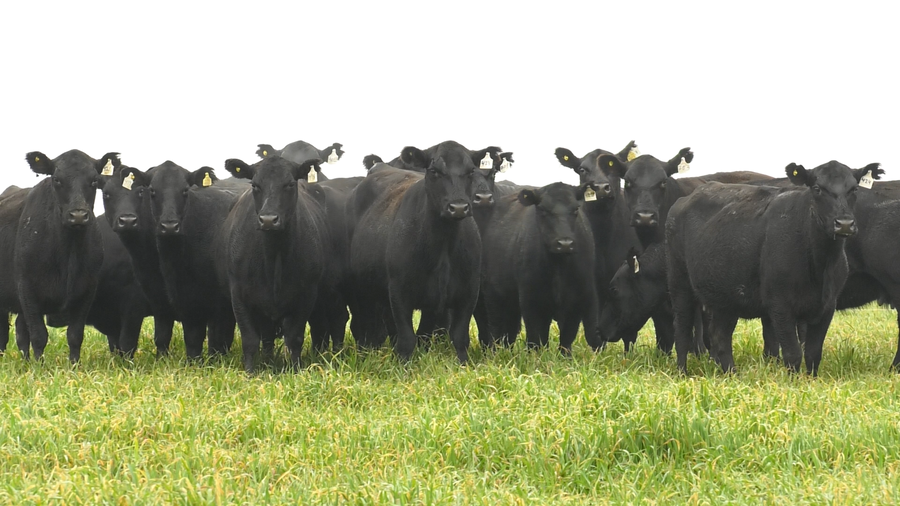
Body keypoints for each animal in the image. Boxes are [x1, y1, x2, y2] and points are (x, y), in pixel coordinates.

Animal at [8, 150, 119, 361]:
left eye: (94, 180)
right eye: (57, 180)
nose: (78, 215)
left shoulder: (87, 290)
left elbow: (75, 334)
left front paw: (74, 364)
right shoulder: (26, 288)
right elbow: (39, 334)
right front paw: (39, 366)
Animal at [147, 162, 246, 360]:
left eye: (185, 190)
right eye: (152, 190)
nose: (169, 226)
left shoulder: (220, 304)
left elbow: (218, 339)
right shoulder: (188, 302)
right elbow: (192, 338)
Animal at [348, 141, 496, 363]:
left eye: (471, 170)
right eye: (434, 171)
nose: (458, 207)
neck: (443, 245)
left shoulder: (469, 290)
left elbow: (459, 337)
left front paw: (463, 364)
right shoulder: (398, 292)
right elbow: (407, 339)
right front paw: (403, 366)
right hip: (363, 290)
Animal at [480, 182, 602, 352]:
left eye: (575, 209)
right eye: (543, 209)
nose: (565, 243)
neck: (558, 267)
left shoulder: (575, 301)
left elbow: (566, 339)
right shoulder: (532, 301)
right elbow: (536, 338)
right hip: (494, 294)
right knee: (496, 328)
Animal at [666, 160, 881, 375]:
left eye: (854, 189)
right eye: (817, 188)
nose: (844, 224)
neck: (819, 266)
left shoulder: (827, 306)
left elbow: (813, 353)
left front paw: (811, 379)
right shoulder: (780, 305)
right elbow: (793, 353)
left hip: (725, 297)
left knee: (720, 337)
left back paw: (731, 374)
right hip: (680, 284)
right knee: (682, 331)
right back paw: (683, 372)